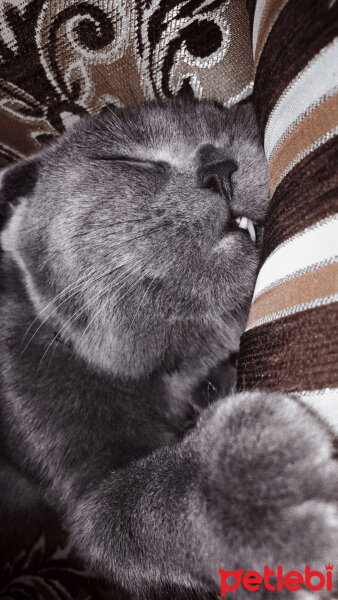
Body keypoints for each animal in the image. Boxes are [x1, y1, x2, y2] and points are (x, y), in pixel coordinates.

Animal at [0, 99, 338, 600]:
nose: (219, 167)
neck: (172, 370)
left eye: (230, 127)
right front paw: (258, 489)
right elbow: (138, 505)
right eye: (124, 160)